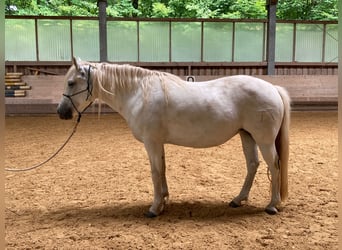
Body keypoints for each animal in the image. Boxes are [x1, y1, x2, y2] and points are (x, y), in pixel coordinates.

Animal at [57, 57, 290, 218]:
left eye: (71, 83)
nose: (61, 112)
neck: (138, 93)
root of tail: (272, 88)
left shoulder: (151, 142)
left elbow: (155, 172)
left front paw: (153, 208)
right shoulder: (158, 143)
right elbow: (162, 169)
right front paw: (164, 201)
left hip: (264, 140)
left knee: (274, 165)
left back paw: (272, 205)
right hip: (247, 136)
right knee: (253, 164)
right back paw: (237, 200)